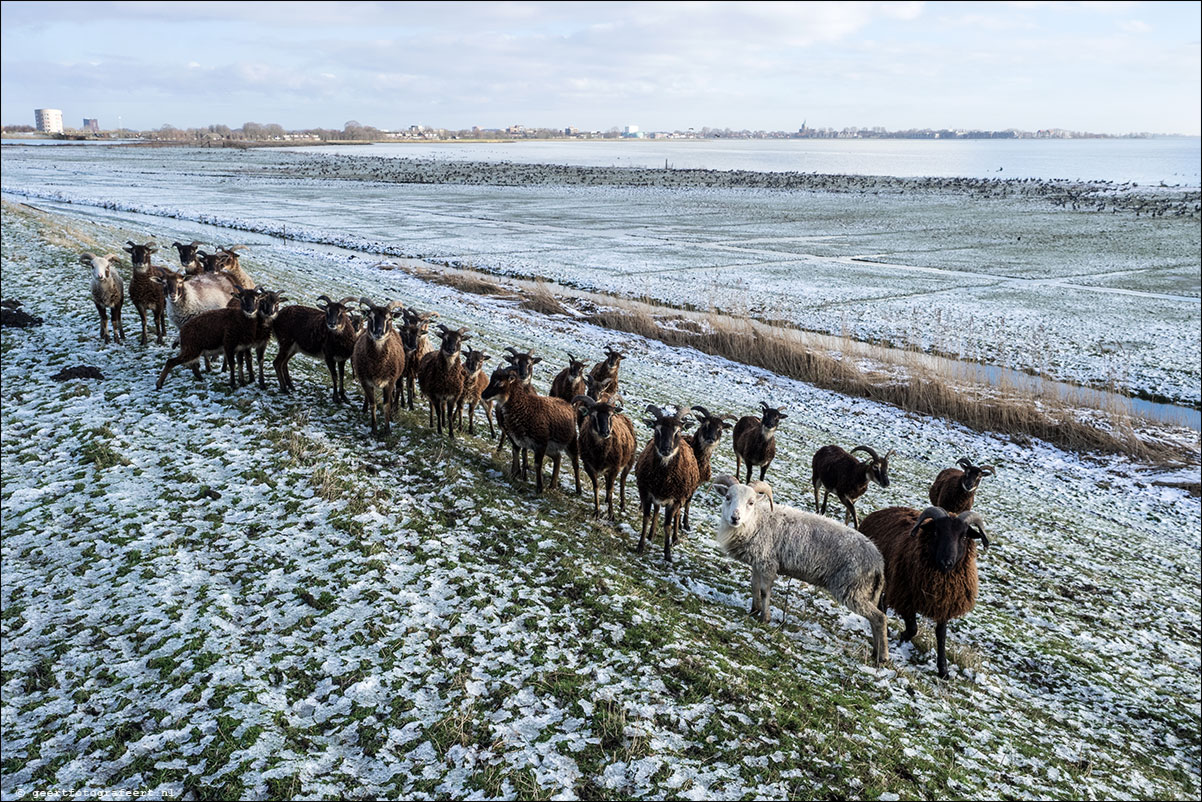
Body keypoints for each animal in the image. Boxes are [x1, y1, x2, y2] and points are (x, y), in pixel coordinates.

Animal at [711, 476, 894, 663]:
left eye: (751, 502)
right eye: (727, 497)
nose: (735, 518)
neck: (757, 521)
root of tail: (878, 562)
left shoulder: (768, 563)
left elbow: (764, 591)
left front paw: (765, 618)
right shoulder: (757, 562)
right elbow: (754, 586)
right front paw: (754, 610)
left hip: (852, 589)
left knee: (880, 618)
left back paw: (883, 656)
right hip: (863, 591)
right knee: (874, 619)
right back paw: (875, 652)